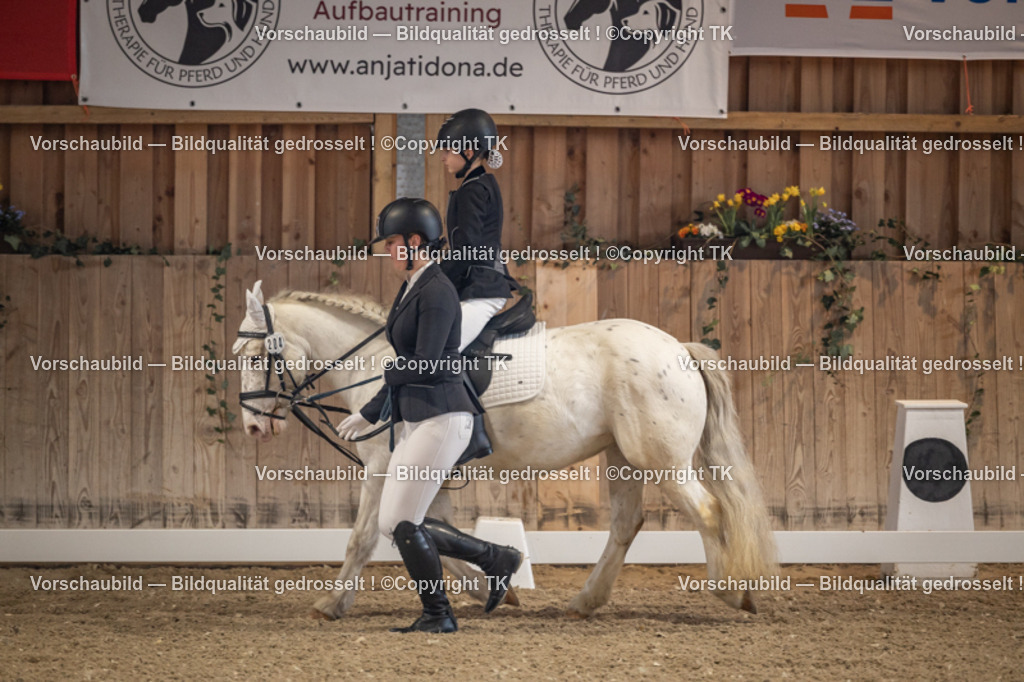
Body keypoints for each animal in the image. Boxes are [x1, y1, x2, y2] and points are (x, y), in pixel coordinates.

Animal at [234, 281, 777, 619]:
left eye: (257, 355)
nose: (253, 425)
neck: (378, 365)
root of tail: (680, 348)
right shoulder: (428, 472)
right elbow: (430, 531)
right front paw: (497, 586)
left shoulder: (384, 467)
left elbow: (366, 536)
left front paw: (330, 605)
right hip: (623, 458)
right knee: (627, 523)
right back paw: (585, 602)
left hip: (660, 461)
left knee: (708, 512)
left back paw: (733, 593)